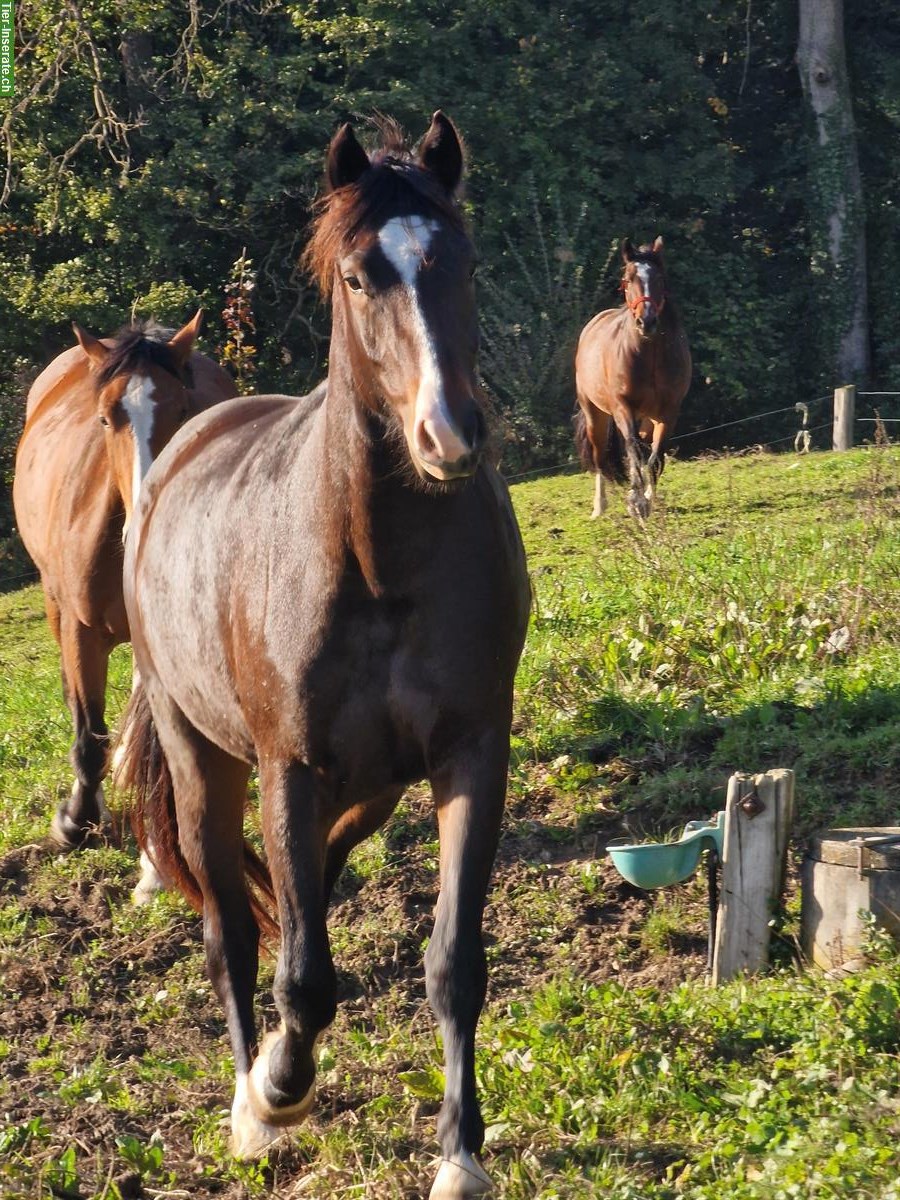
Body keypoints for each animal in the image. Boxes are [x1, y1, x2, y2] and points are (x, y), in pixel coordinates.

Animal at [116, 108, 532, 1195]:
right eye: (357, 276)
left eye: (462, 259)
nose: (448, 433)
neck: (379, 565)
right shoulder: (288, 767)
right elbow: (302, 975)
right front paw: (275, 1094)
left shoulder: (470, 754)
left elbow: (453, 962)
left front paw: (460, 1154)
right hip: (204, 758)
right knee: (230, 924)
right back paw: (249, 1093)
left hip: (370, 786)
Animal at [573, 236, 696, 518]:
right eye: (628, 279)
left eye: (659, 278)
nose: (646, 322)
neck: (649, 356)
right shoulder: (623, 408)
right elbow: (634, 451)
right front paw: (637, 501)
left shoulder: (668, 412)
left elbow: (654, 457)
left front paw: (647, 499)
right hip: (595, 414)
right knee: (600, 457)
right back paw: (599, 507)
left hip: (646, 419)